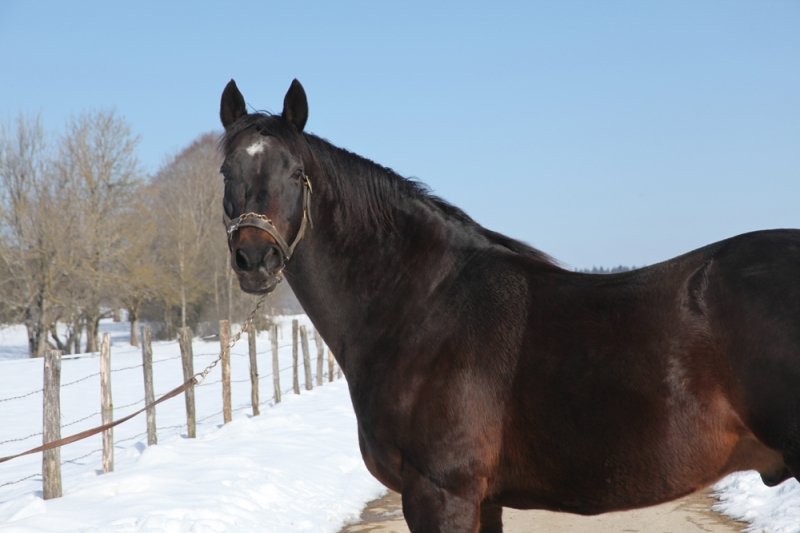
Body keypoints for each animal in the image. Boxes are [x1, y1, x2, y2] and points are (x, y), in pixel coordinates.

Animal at [218, 78, 800, 532]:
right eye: (226, 172)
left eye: (296, 172)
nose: (254, 258)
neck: (422, 306)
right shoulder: (486, 500)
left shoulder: (440, 494)